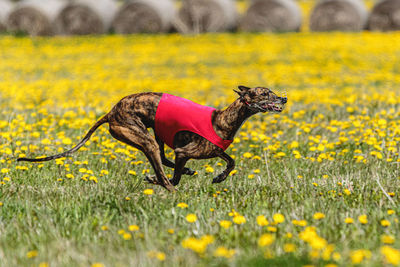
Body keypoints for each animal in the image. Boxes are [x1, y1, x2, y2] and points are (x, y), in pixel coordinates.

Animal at [18, 85, 288, 191]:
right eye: (265, 93)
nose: (284, 98)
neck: (221, 119)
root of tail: (110, 112)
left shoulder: (213, 150)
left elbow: (231, 161)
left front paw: (219, 177)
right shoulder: (184, 152)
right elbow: (175, 176)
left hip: (156, 133)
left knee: (163, 160)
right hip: (143, 137)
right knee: (166, 176)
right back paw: (164, 185)